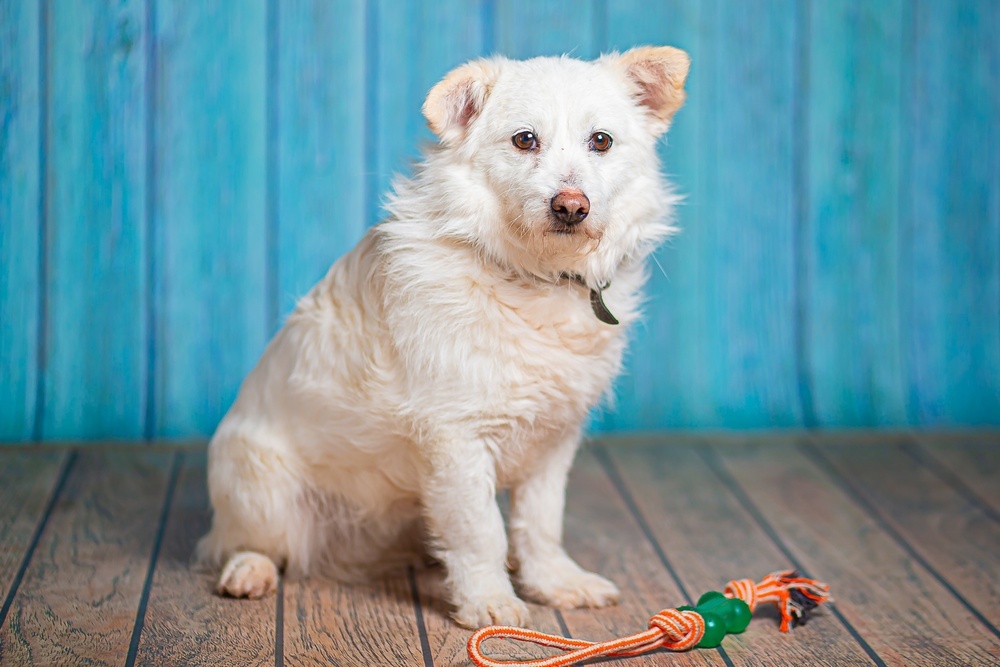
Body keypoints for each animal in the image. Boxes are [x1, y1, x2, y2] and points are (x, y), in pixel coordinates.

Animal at [200, 44, 692, 628]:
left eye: (602, 141)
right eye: (524, 140)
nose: (572, 206)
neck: (534, 277)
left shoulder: (553, 443)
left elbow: (540, 524)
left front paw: (554, 582)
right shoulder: (456, 440)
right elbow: (480, 531)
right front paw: (490, 601)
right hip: (259, 488)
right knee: (245, 544)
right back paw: (248, 571)